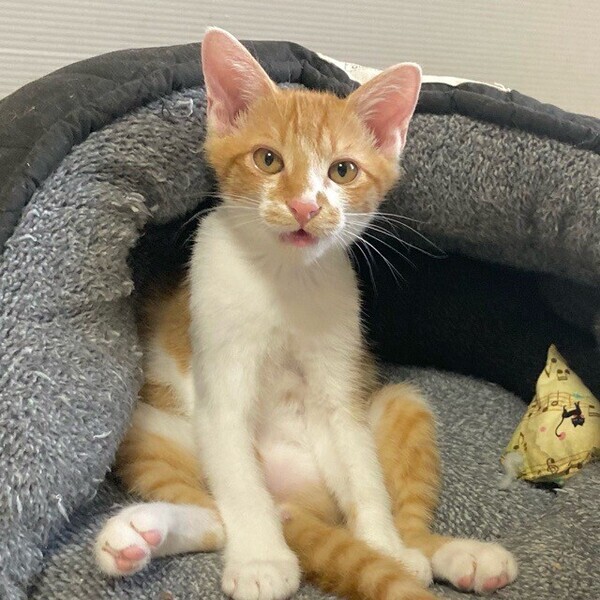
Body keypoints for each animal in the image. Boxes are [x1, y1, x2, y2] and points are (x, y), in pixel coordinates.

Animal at [95, 27, 517, 600]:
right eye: (268, 160)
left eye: (343, 170)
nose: (305, 207)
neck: (284, 282)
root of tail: (300, 499)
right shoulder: (219, 378)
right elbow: (239, 484)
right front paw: (261, 560)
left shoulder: (342, 386)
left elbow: (363, 476)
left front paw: (383, 548)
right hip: (147, 428)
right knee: (215, 515)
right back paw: (137, 535)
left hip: (400, 404)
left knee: (400, 502)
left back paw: (445, 554)